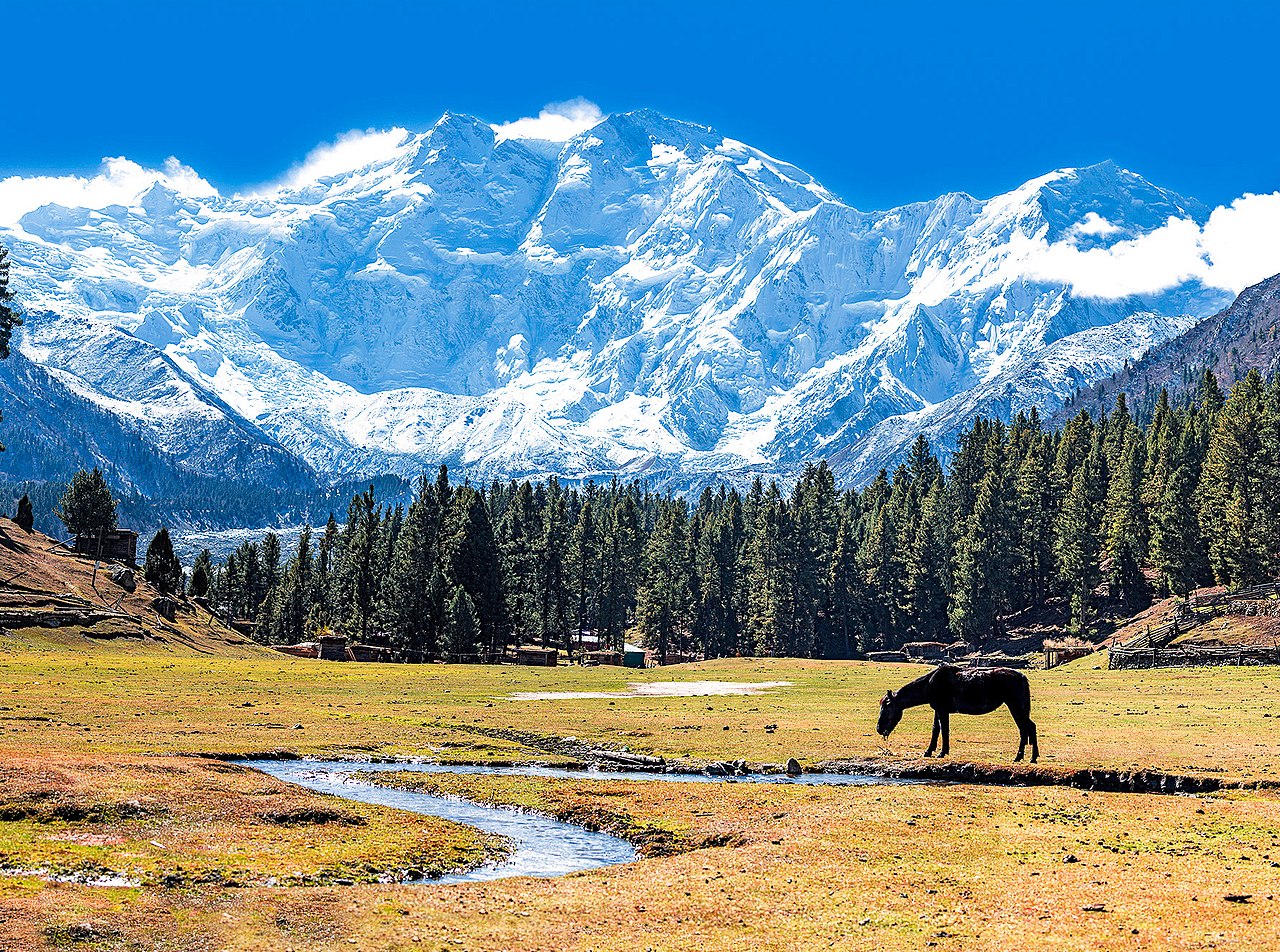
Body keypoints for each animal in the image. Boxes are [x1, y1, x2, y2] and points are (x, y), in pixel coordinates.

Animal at [870, 665, 1039, 762]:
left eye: (887, 705)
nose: (879, 728)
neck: (929, 683)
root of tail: (1022, 677)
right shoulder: (938, 710)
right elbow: (936, 730)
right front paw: (929, 751)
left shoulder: (942, 710)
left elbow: (944, 730)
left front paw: (942, 752)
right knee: (1026, 729)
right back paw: (1024, 757)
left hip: (1015, 706)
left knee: (1028, 728)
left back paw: (1027, 757)